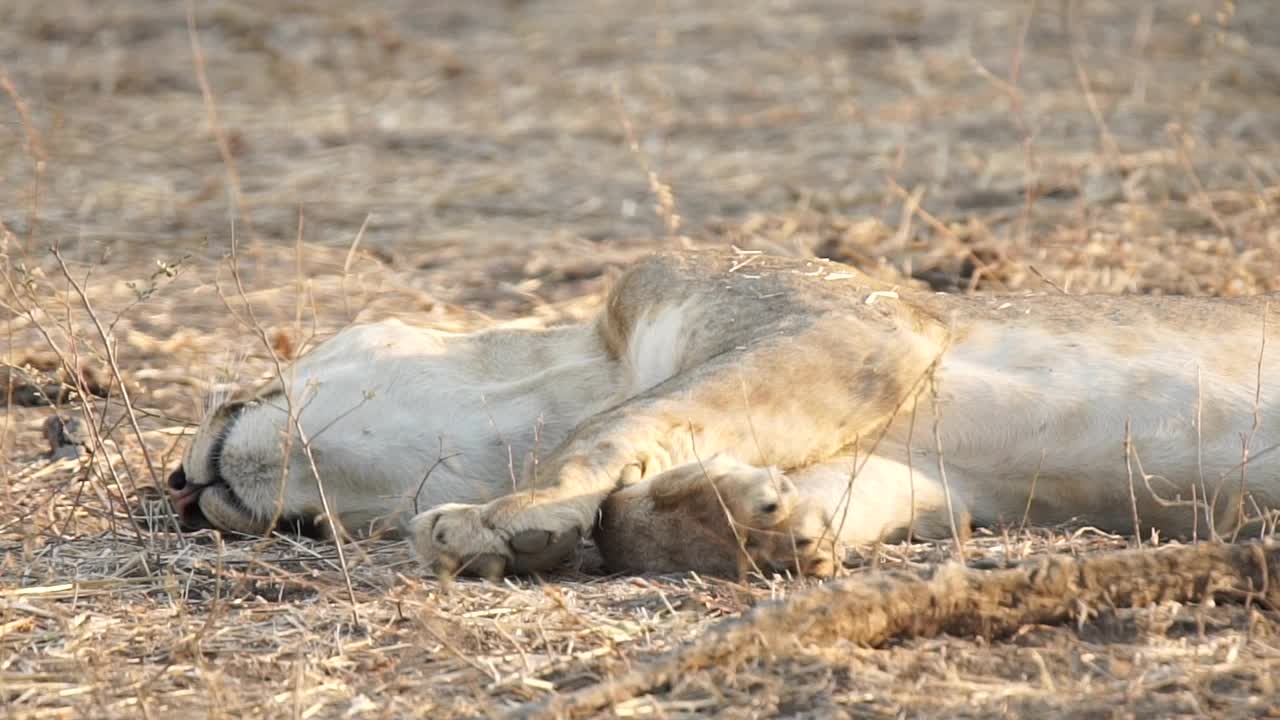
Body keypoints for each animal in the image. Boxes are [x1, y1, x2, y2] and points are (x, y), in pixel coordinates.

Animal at [167, 248, 1280, 576]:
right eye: (313, 528)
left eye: (266, 372)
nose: (176, 486)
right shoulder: (917, 470)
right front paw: (739, 521)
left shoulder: (858, 323)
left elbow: (610, 431)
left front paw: (495, 521)